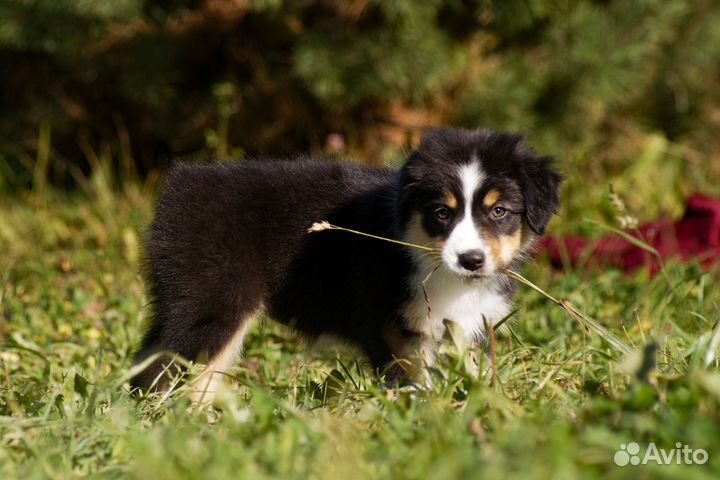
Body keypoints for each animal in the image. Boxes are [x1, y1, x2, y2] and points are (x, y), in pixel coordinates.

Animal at [134, 126, 564, 398]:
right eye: (442, 212)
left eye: (499, 212)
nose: (471, 260)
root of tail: (181, 184)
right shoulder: (389, 324)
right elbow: (412, 380)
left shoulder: (466, 327)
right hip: (214, 301)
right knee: (167, 370)